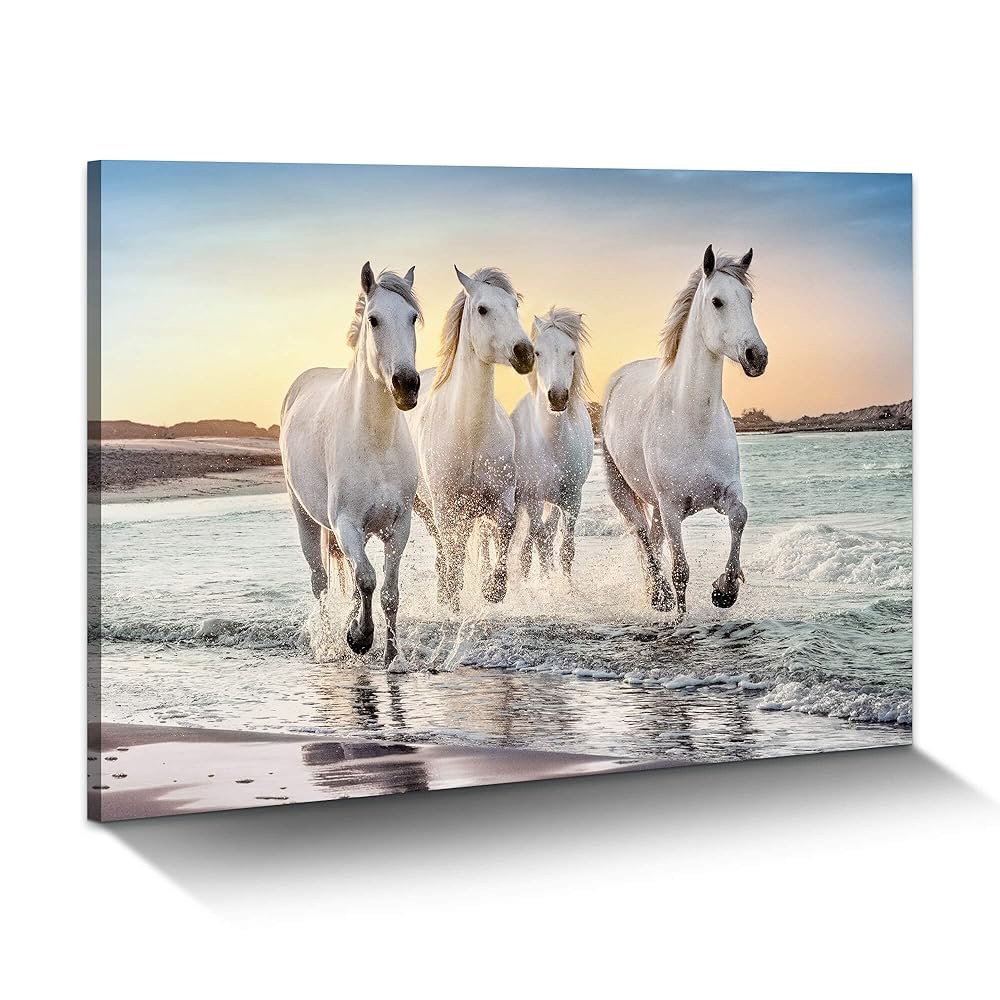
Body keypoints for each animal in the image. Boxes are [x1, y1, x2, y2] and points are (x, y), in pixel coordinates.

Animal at [280, 261, 423, 666]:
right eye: (373, 320)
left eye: (412, 317)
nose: (406, 385)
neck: (375, 441)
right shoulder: (346, 524)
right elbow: (367, 580)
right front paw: (360, 638)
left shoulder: (398, 526)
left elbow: (387, 591)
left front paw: (391, 656)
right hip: (306, 519)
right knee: (320, 583)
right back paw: (329, 641)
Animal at [404, 266, 534, 610]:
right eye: (482, 309)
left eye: (515, 305)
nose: (525, 353)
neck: (469, 434)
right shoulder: (447, 508)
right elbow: (454, 556)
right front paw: (452, 598)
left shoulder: (501, 500)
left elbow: (504, 534)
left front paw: (493, 589)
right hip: (426, 508)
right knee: (444, 549)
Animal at [511, 306, 594, 579]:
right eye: (538, 352)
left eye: (572, 351)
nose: (557, 397)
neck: (552, 442)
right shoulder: (533, 498)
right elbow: (537, 544)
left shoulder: (572, 498)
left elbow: (565, 550)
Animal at [601, 245, 768, 617]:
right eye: (717, 301)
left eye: (750, 298)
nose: (757, 356)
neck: (693, 421)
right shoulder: (672, 507)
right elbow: (680, 570)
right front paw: (680, 613)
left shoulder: (724, 492)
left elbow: (740, 517)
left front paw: (725, 590)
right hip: (623, 490)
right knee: (642, 536)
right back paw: (658, 594)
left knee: (651, 538)